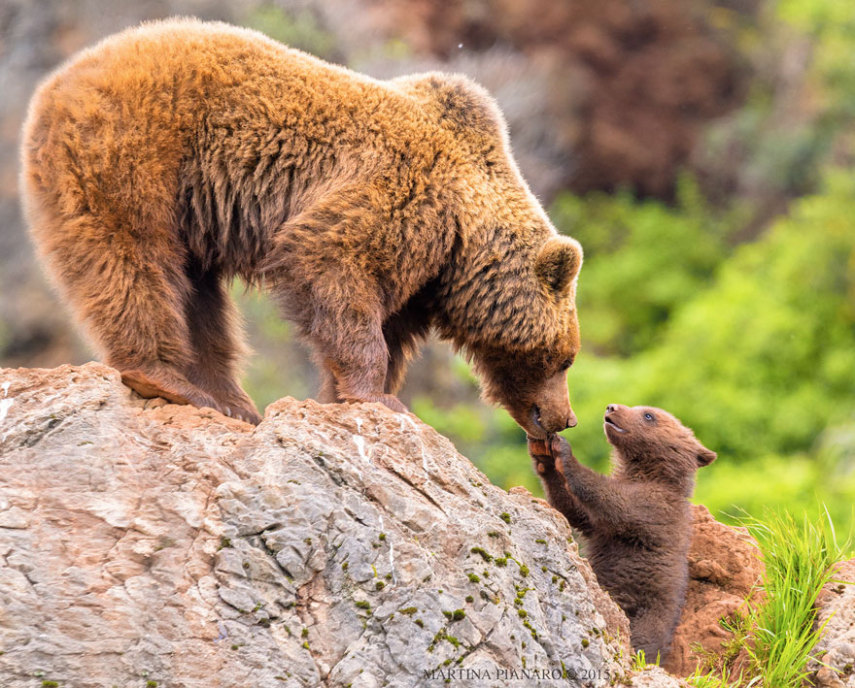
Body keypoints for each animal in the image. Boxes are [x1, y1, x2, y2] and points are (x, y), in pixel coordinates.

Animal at [18, 17, 580, 430]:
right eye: (566, 359)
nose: (566, 419)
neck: (462, 240)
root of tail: (56, 83)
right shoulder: (402, 199)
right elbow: (332, 263)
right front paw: (377, 397)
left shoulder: (421, 274)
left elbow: (389, 325)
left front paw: (344, 396)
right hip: (134, 150)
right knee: (133, 259)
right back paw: (166, 378)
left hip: (187, 208)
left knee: (200, 298)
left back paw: (230, 401)